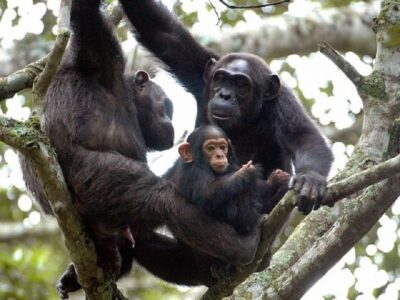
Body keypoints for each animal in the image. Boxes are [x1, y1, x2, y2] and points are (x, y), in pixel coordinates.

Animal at [21, 0, 262, 296]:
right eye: (166, 106)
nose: (170, 122)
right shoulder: (105, 59)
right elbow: (87, 18)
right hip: (95, 178)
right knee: (164, 201)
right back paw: (242, 248)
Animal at [119, 0, 334, 216]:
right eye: (221, 78)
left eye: (240, 83)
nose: (224, 95)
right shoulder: (200, 68)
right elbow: (162, 32)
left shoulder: (283, 101)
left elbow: (304, 137)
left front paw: (311, 178)